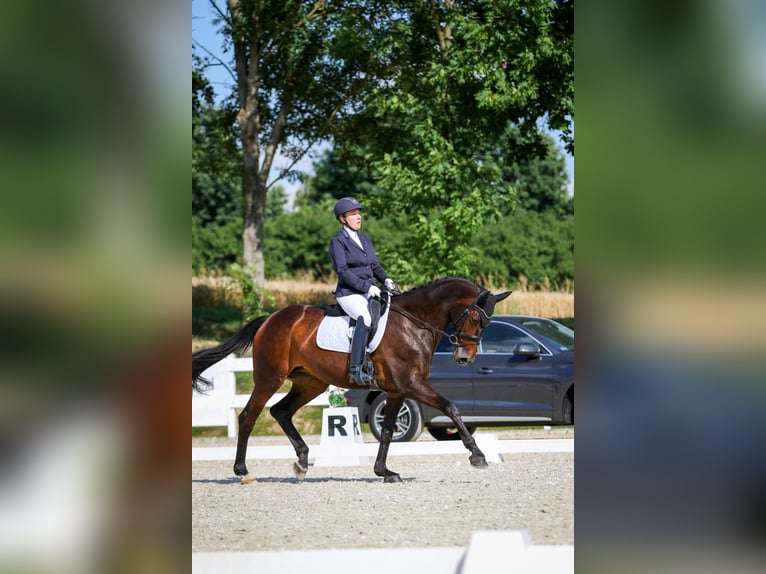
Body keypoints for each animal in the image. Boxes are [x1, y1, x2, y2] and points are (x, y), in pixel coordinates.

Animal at [192, 276, 512, 484]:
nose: (465, 359)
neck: (413, 324)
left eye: (485, 324)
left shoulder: (396, 391)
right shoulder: (410, 384)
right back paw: (243, 471)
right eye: (475, 319)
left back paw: (302, 462)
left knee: (280, 411)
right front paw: (477, 455)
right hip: (269, 378)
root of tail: (270, 318)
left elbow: (387, 431)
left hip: (310, 383)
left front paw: (384, 472)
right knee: (249, 416)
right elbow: (451, 407)